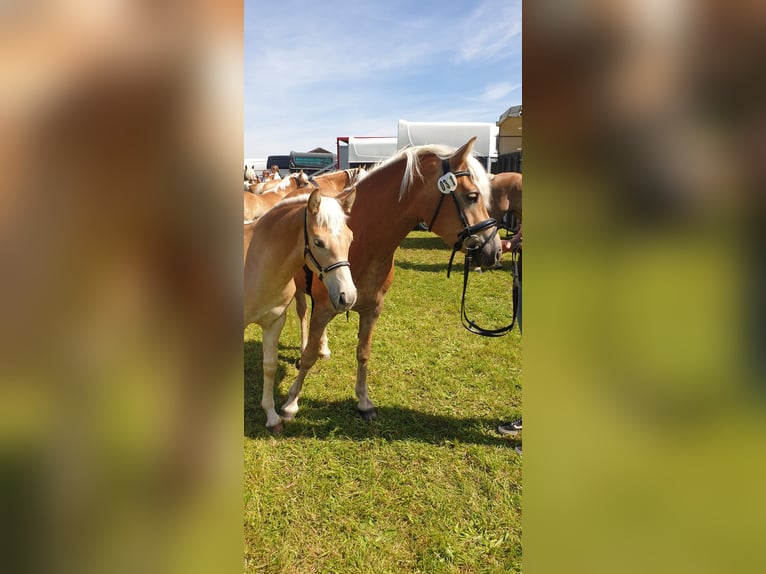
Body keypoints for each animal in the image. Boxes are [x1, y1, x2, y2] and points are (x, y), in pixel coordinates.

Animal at [246, 188, 360, 432]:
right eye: (318, 242)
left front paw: (272, 417)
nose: (348, 296)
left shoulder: (274, 322)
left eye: (350, 238)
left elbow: (269, 366)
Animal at [282, 136, 504, 424]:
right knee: (302, 314)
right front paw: (290, 403)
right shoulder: (324, 308)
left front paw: (364, 401)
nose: (495, 250)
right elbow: (308, 357)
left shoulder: (372, 309)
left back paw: (324, 347)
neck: (361, 241)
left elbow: (363, 353)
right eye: (472, 196)